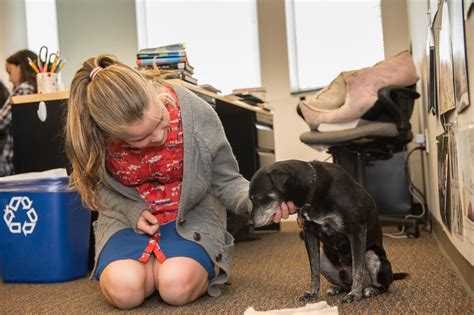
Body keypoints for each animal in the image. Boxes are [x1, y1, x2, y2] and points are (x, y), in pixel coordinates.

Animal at [248, 160, 408, 304]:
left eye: (258, 198)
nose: (250, 223)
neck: (314, 190)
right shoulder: (309, 234)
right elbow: (314, 270)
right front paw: (312, 293)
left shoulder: (356, 231)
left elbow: (358, 270)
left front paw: (354, 295)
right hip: (325, 258)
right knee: (344, 284)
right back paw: (337, 288)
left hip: (372, 255)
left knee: (383, 285)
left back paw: (371, 290)